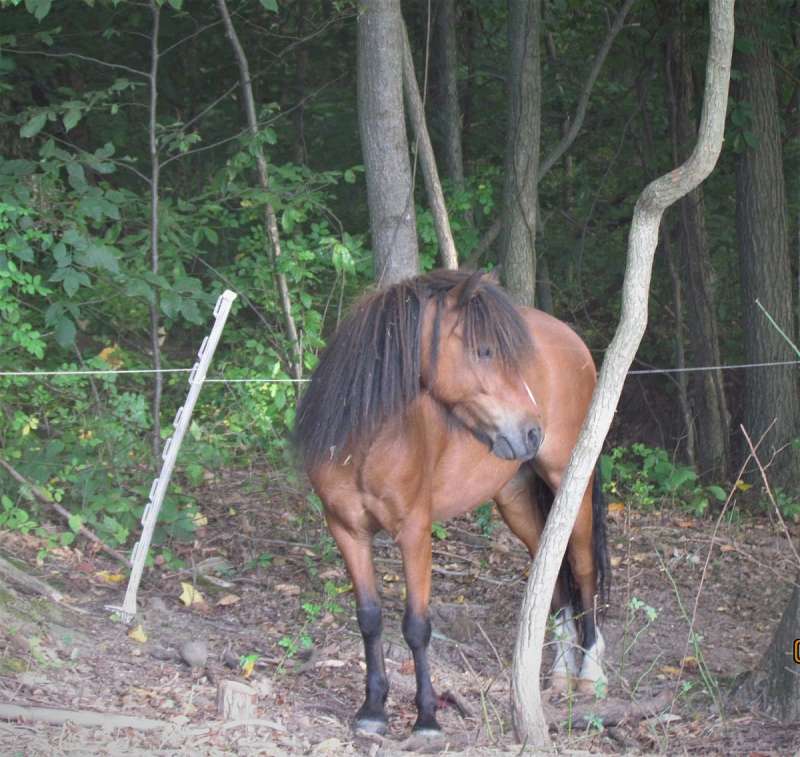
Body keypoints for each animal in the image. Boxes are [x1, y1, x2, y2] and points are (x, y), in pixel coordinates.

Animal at [293, 269, 609, 736]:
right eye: (485, 350)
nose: (532, 431)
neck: (363, 445)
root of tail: (574, 341)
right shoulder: (346, 530)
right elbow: (369, 618)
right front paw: (372, 710)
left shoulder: (414, 532)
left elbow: (416, 625)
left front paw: (426, 717)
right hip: (515, 499)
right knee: (548, 565)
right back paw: (560, 672)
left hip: (571, 484)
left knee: (583, 567)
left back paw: (589, 673)